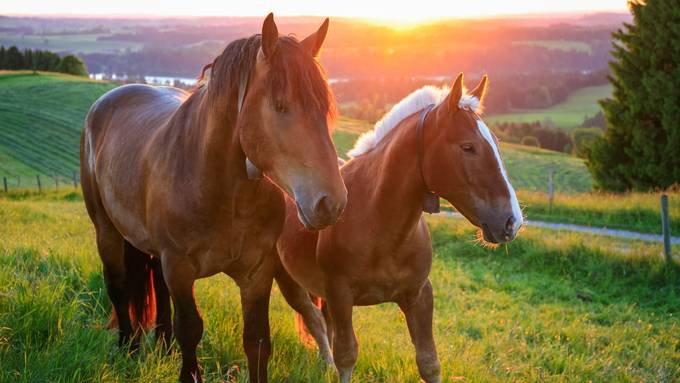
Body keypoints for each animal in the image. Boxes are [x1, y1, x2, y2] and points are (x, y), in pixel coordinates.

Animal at [81, 12, 346, 383]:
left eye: (325, 108)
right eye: (281, 106)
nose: (330, 203)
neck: (220, 191)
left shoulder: (257, 273)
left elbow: (257, 340)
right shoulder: (179, 267)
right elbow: (190, 328)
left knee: (157, 288)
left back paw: (162, 348)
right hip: (107, 231)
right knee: (119, 286)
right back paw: (129, 349)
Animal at [278, 73, 524, 382]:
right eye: (468, 147)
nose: (512, 221)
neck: (378, 224)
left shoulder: (419, 296)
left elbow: (429, 362)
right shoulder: (340, 295)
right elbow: (347, 355)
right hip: (289, 282)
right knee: (315, 322)